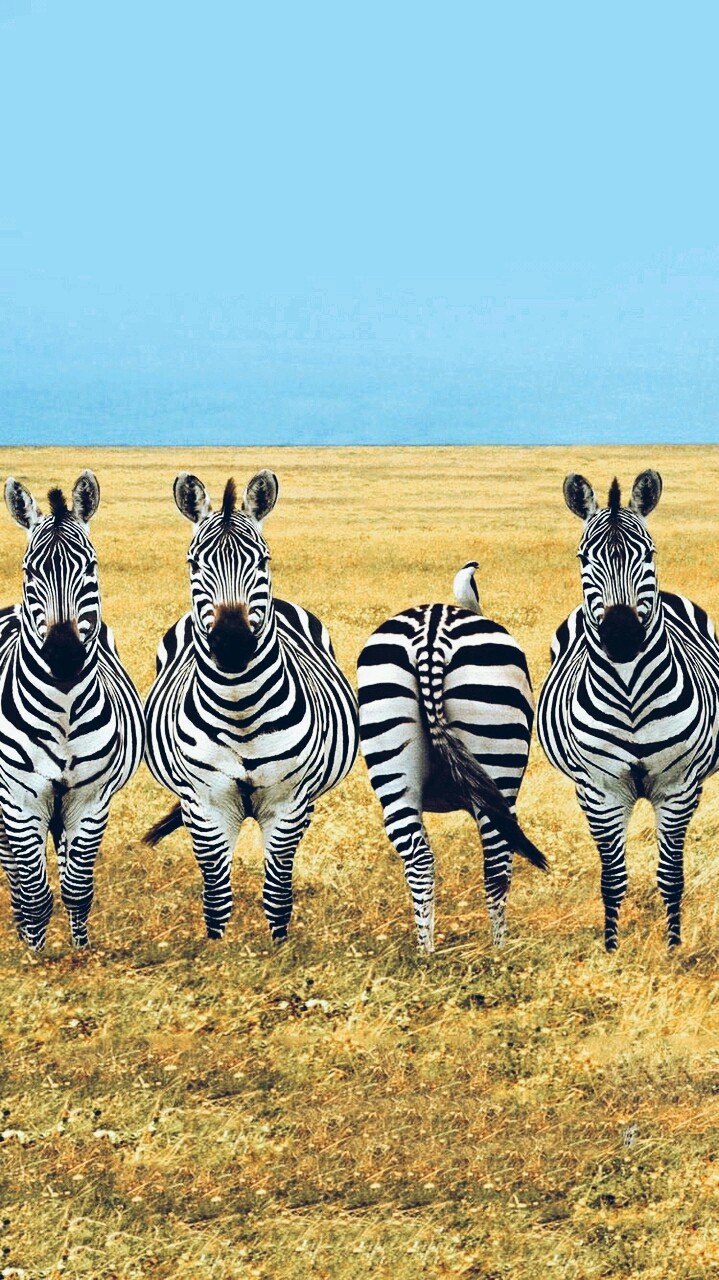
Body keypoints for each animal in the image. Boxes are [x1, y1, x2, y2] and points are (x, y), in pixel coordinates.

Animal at [0, 472, 145, 950]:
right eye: (29, 572)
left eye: (91, 569)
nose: (63, 657)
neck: (63, 711)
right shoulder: (20, 798)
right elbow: (33, 888)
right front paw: (35, 951)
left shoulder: (91, 799)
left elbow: (77, 886)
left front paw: (80, 950)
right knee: (14, 867)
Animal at [143, 469, 359, 943]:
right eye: (193, 564)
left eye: (262, 560)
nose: (232, 643)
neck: (240, 710)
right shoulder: (206, 804)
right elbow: (216, 894)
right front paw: (218, 950)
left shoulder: (288, 804)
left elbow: (277, 890)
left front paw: (279, 948)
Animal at [356, 561, 548, 953]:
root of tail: (431, 630)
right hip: (498, 759)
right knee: (497, 860)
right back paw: (499, 951)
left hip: (389, 752)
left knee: (419, 858)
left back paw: (426, 952)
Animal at [537, 470, 719, 950]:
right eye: (583, 557)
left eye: (649, 554)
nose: (621, 636)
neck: (631, 693)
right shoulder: (600, 792)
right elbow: (613, 879)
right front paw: (611, 947)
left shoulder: (678, 788)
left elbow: (671, 877)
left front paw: (673, 947)